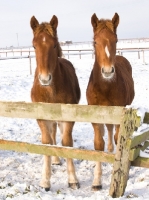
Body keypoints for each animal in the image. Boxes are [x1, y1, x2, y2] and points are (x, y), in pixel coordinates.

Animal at [30, 15, 80, 191]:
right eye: (34, 45)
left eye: (54, 45)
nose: (45, 79)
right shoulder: (41, 118)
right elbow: (46, 143)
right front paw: (45, 180)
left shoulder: (68, 117)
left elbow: (67, 142)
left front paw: (72, 179)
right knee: (52, 135)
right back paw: (55, 160)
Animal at [85, 12, 134, 191]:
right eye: (95, 41)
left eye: (116, 40)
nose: (107, 71)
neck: (105, 87)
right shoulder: (95, 115)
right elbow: (99, 143)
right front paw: (97, 181)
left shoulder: (120, 113)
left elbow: (118, 137)